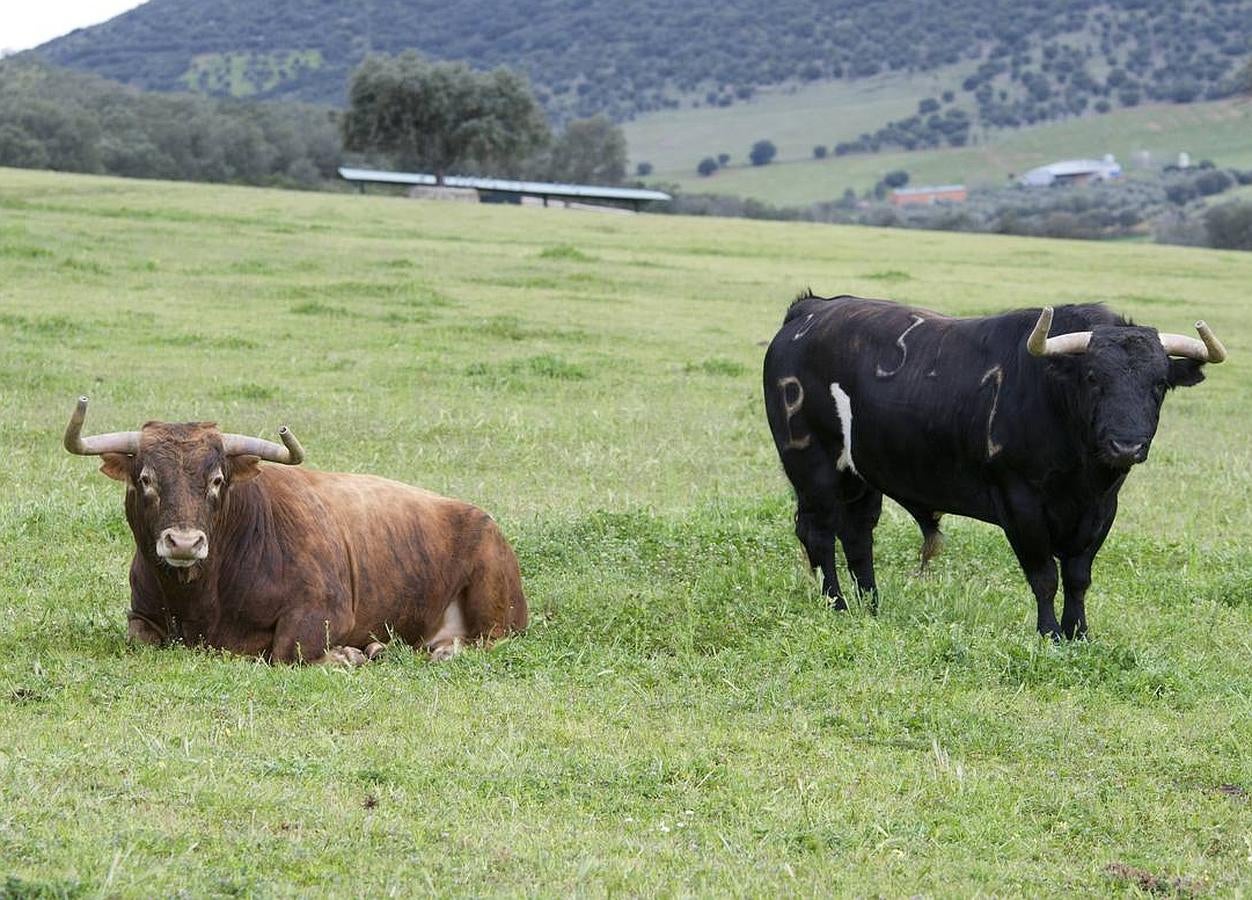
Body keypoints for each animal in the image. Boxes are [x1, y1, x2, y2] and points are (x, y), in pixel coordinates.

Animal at [66, 398, 525, 665]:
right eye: (145, 479)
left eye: (217, 480)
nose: (183, 542)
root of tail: (482, 517)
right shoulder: (140, 614)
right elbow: (139, 638)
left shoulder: (324, 610)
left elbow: (288, 651)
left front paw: (347, 655)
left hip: (498, 607)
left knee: (491, 638)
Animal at [756, 295, 1226, 640]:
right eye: (1093, 377)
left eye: (1159, 384)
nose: (1125, 445)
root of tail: (810, 310)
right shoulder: (1021, 504)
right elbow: (1044, 575)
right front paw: (1050, 634)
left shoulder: (1101, 510)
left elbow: (1078, 576)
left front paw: (1079, 633)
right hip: (813, 467)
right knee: (819, 533)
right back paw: (837, 604)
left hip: (861, 475)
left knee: (857, 536)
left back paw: (872, 606)